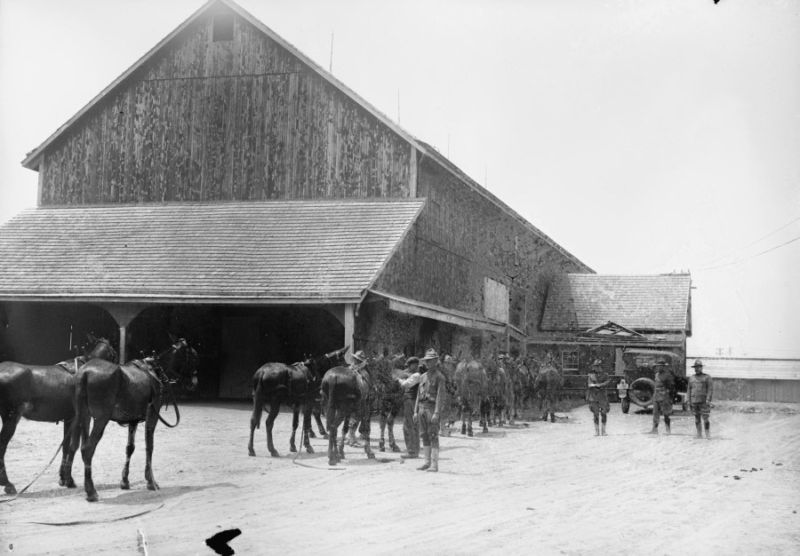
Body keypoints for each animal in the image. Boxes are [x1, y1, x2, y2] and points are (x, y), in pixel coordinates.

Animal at [0, 334, 117, 496]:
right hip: (11, 418)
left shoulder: (69, 418)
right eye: (114, 354)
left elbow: (66, 447)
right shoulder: (81, 418)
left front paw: (63, 478)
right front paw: (69, 479)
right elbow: (75, 445)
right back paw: (7, 484)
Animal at [70, 336, 198, 502]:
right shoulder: (152, 415)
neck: (155, 371)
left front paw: (125, 481)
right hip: (100, 419)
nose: (194, 383)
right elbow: (149, 446)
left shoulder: (133, 420)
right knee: (88, 449)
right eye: (194, 357)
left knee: (83, 447)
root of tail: (85, 373)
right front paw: (151, 481)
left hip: (84, 417)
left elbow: (130, 448)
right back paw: (91, 491)